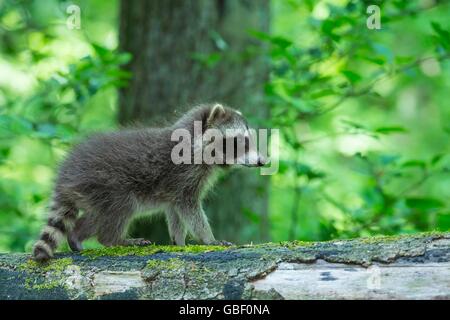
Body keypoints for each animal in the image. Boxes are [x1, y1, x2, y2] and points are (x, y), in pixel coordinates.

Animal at [34, 104, 268, 262]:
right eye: (240, 141)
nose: (262, 161)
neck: (193, 143)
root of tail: (66, 174)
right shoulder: (183, 176)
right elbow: (190, 210)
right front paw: (208, 238)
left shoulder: (176, 188)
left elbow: (175, 214)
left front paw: (179, 242)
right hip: (108, 183)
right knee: (119, 211)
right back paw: (115, 239)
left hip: (95, 191)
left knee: (95, 216)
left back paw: (76, 235)